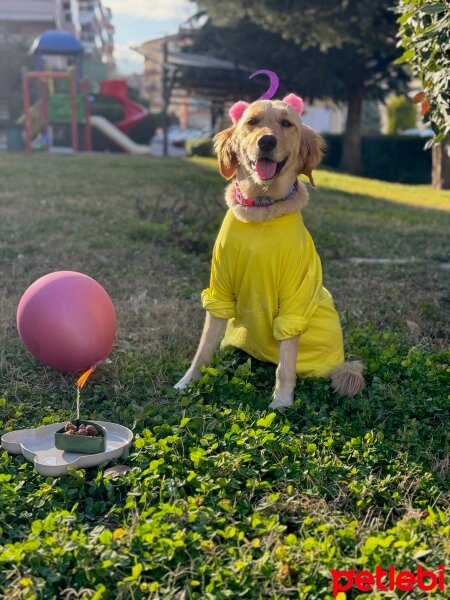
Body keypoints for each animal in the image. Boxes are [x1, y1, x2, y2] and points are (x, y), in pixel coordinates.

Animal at [174, 92, 364, 408]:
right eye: (252, 122)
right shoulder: (219, 288)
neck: (262, 208)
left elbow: (286, 362)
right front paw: (187, 382)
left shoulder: (294, 298)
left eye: (287, 124)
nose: (267, 141)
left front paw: (282, 400)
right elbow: (204, 348)